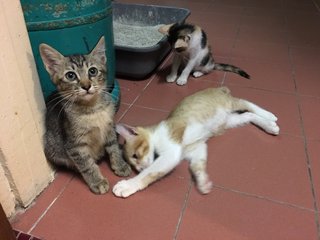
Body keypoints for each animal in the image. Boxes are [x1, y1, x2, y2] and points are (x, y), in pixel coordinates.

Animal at [39, 36, 131, 194]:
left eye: (92, 71)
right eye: (70, 75)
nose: (86, 86)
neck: (92, 109)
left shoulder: (109, 128)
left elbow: (113, 147)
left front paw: (119, 164)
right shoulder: (75, 145)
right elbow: (86, 164)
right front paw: (97, 181)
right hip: (50, 144)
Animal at [112, 87, 280, 198]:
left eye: (135, 156)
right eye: (133, 163)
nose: (139, 168)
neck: (156, 135)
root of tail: (218, 88)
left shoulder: (171, 152)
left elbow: (150, 172)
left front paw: (129, 185)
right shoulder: (197, 148)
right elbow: (197, 165)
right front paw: (203, 182)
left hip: (229, 104)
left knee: (245, 102)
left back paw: (269, 115)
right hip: (230, 121)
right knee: (248, 115)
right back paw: (270, 126)